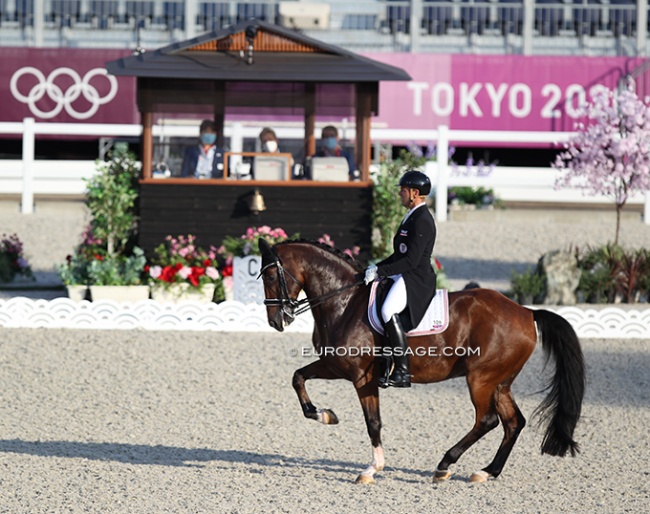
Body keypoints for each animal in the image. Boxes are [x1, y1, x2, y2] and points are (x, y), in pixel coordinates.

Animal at [256, 238, 584, 482]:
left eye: (270, 276)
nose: (275, 321)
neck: (344, 303)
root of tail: (527, 312)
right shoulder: (335, 366)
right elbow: (298, 376)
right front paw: (325, 415)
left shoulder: (360, 376)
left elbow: (372, 422)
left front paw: (371, 469)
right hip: (500, 382)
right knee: (513, 422)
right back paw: (487, 471)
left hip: (481, 379)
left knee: (487, 420)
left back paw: (445, 465)